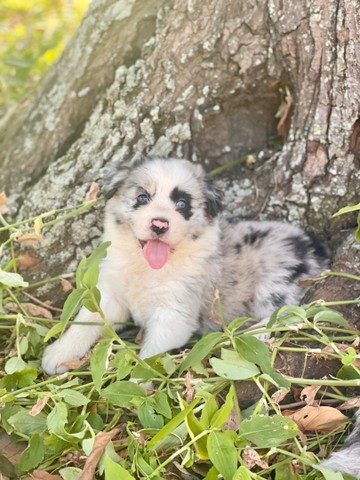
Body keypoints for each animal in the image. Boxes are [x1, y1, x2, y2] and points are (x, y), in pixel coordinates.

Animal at [41, 158, 330, 376]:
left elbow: (150, 356)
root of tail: (318, 248)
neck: (146, 268)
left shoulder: (173, 315)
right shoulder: (111, 296)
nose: (159, 224)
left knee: (286, 315)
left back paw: (253, 335)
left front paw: (139, 388)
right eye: (142, 197)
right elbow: (84, 322)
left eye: (182, 204)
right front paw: (58, 353)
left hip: (275, 283)